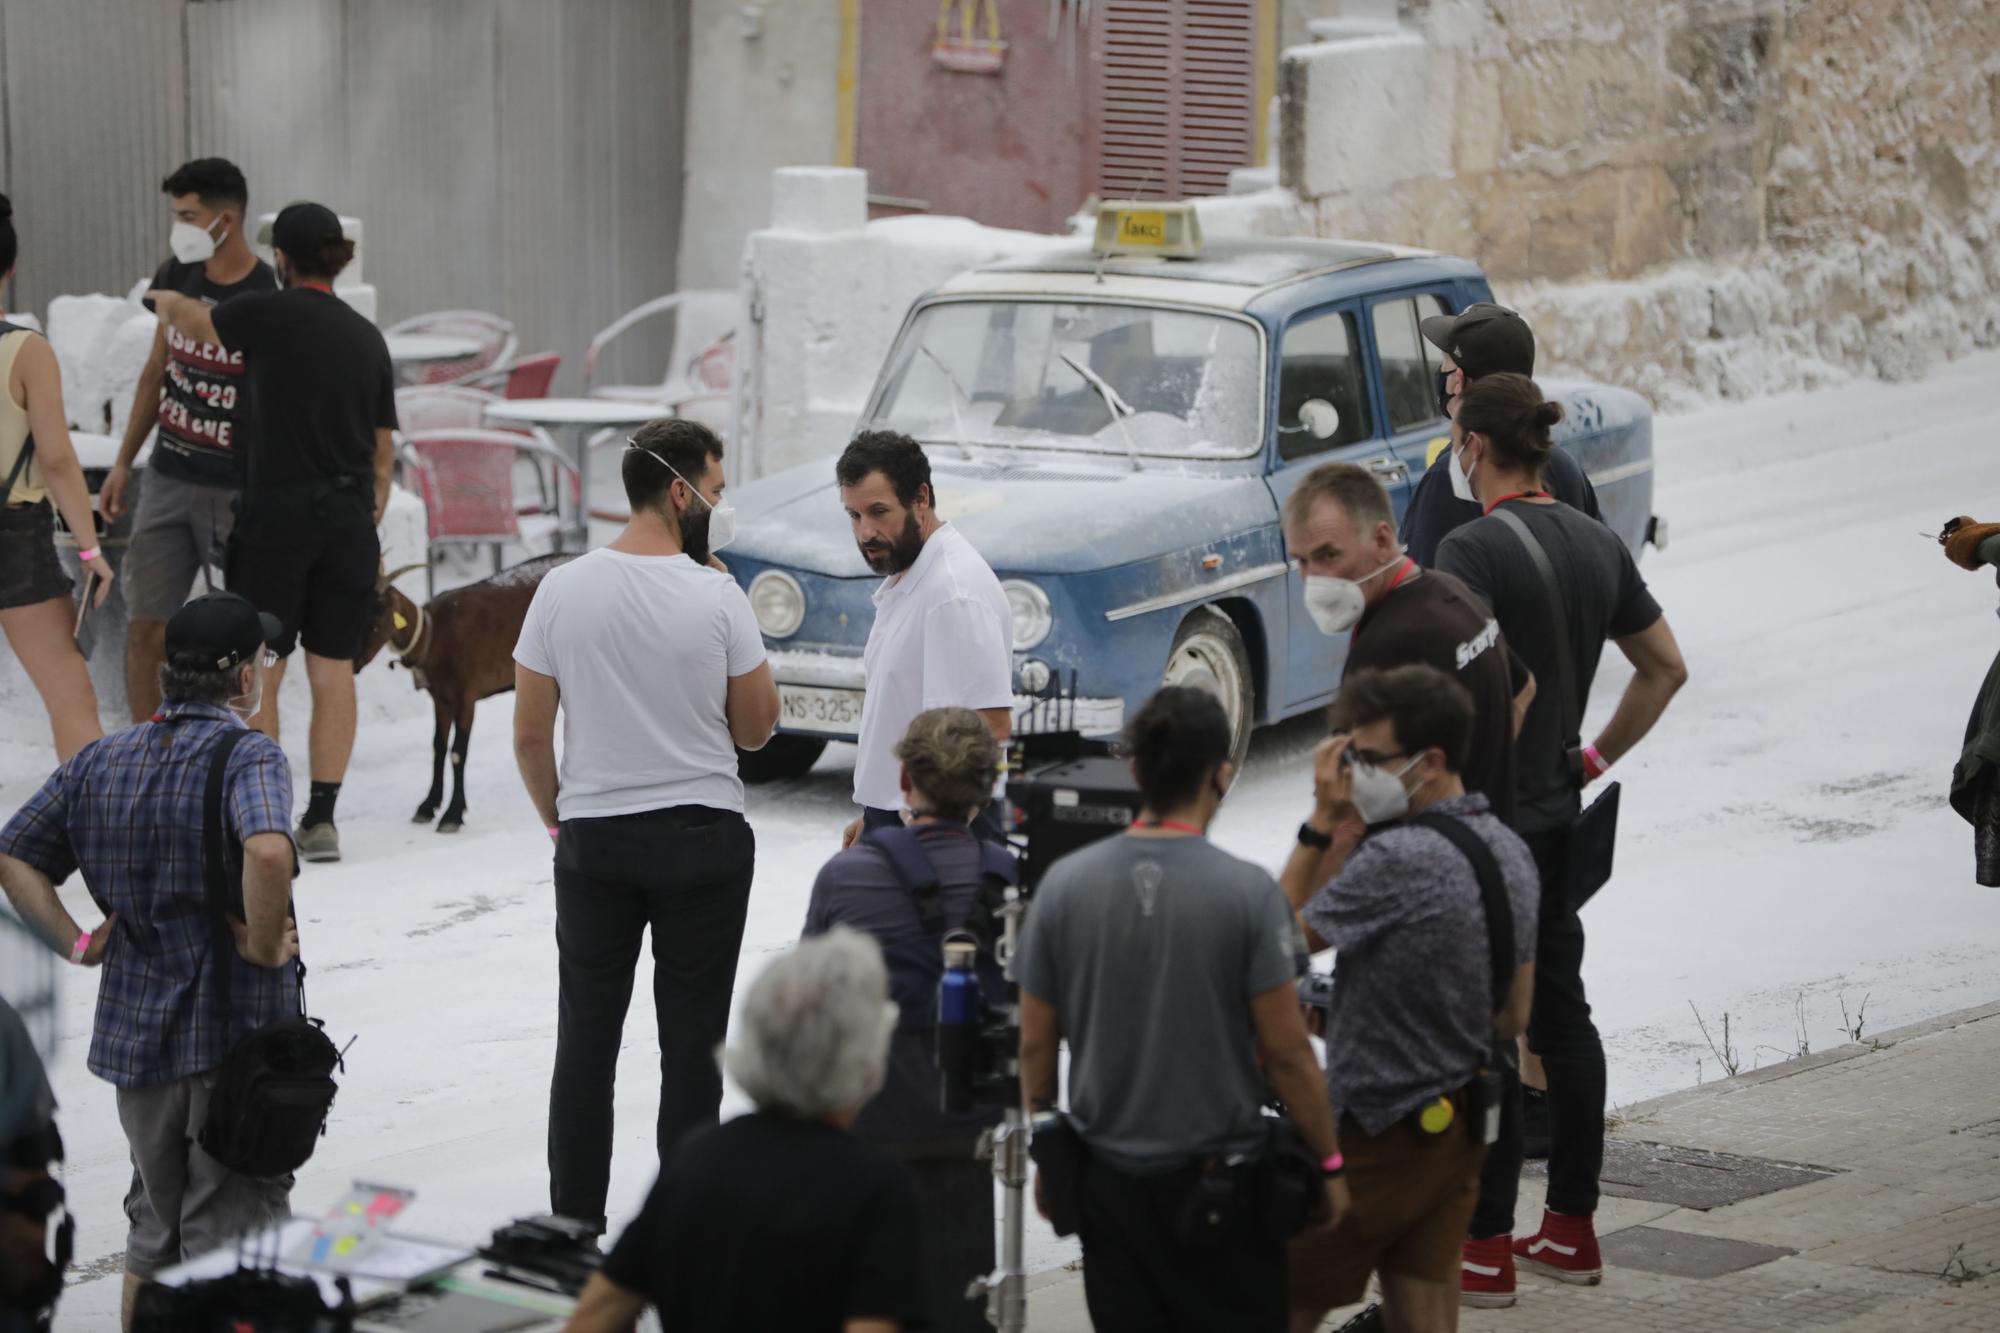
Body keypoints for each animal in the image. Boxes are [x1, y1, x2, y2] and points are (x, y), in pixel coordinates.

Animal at [356, 552, 576, 832]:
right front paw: (427, 806)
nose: (354, 660)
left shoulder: (466, 696)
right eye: (357, 605)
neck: (434, 635)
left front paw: (452, 815)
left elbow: (457, 753)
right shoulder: (440, 699)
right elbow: (438, 747)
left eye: (380, 609)